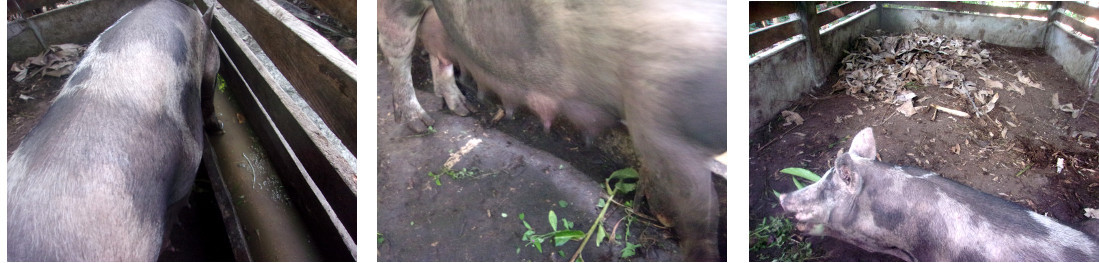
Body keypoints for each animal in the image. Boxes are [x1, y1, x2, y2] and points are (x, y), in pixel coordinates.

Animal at [380, 0, 729, 259]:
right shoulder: (660, 125)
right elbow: (699, 213)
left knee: (434, 44)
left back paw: (461, 108)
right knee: (396, 43)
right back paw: (419, 122)